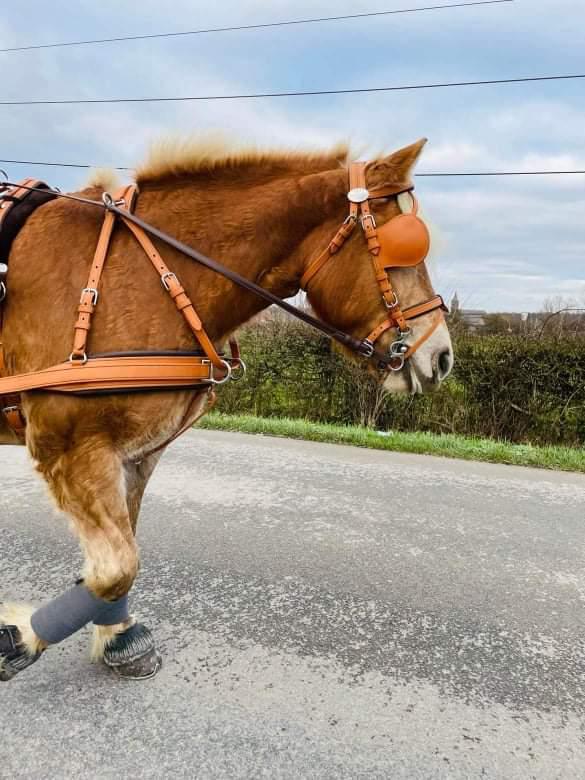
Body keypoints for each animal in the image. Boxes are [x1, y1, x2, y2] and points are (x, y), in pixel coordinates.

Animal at [0, 137, 452, 680]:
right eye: (405, 243)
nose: (442, 355)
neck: (137, 272)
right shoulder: (68, 448)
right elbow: (116, 568)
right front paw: (20, 636)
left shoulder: (134, 454)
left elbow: (121, 554)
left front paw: (117, 635)